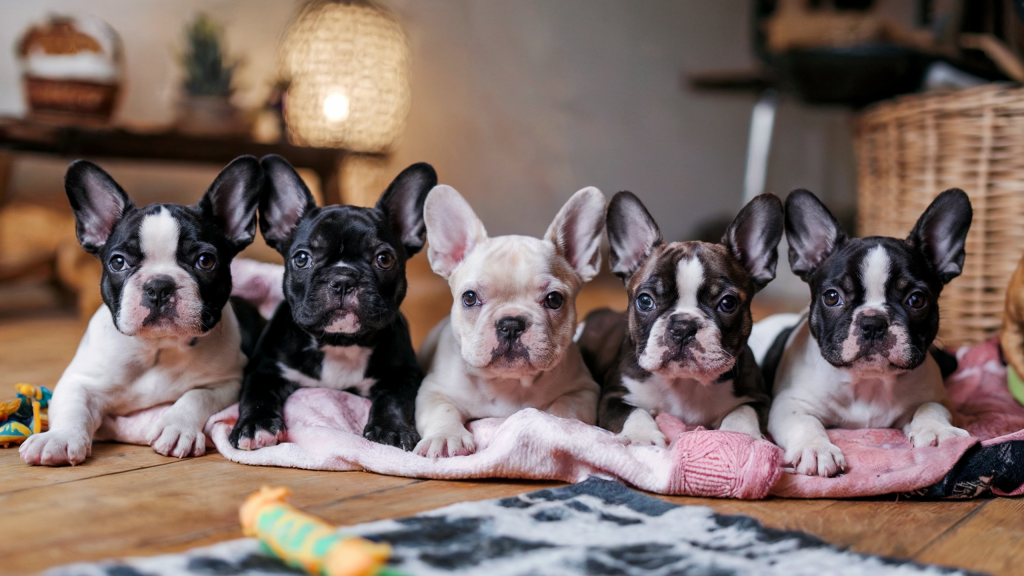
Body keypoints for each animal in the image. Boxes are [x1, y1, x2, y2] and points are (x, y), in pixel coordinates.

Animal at [24, 156, 266, 467]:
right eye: (118, 262)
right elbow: (73, 408)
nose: (159, 286)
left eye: (205, 261)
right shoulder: (78, 381)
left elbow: (196, 396)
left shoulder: (226, 381)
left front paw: (177, 428)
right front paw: (59, 438)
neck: (157, 347)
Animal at [228, 155, 436, 448]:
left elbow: (394, 401)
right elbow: (256, 395)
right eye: (302, 258)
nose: (343, 278)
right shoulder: (264, 369)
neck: (340, 343)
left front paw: (391, 429)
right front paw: (255, 425)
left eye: (384, 259)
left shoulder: (403, 374)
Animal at [413, 182, 606, 453]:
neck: (508, 381)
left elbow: (565, 408)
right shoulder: (433, 390)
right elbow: (442, 409)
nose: (511, 324)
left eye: (554, 300)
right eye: (469, 298)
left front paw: (557, 426)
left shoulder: (583, 390)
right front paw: (445, 437)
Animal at [577, 190, 782, 446]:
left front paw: (739, 437)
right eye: (645, 301)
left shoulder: (758, 397)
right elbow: (633, 411)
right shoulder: (614, 396)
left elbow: (743, 412)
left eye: (728, 303)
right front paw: (642, 436)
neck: (685, 382)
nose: (683, 326)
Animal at [757, 188, 970, 475]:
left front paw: (937, 430)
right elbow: (805, 422)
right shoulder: (789, 403)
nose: (873, 322)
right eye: (832, 297)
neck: (868, 382)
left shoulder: (936, 396)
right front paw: (816, 448)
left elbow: (931, 407)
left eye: (916, 299)